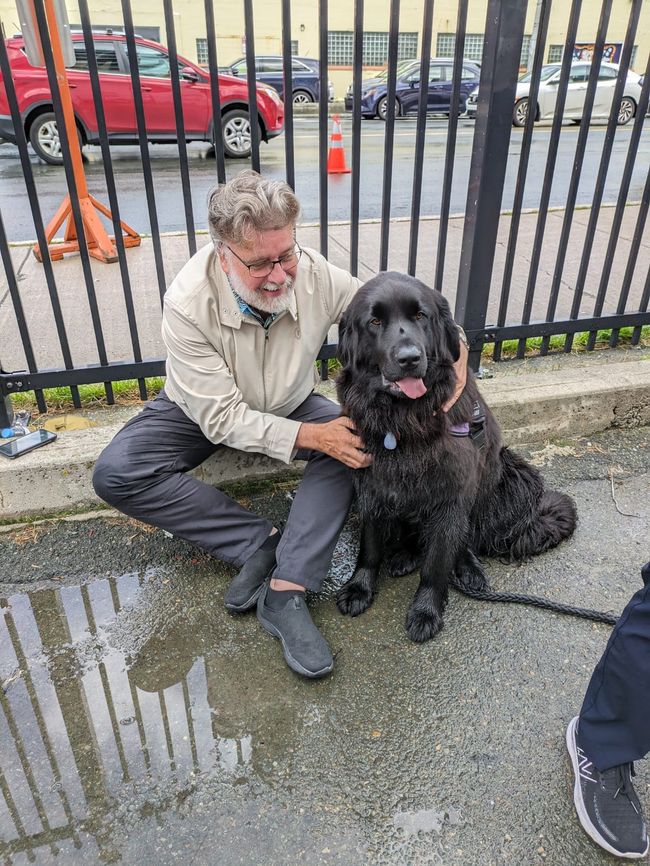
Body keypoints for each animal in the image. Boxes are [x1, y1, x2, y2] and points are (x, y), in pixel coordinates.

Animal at [336, 270, 576, 640]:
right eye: (374, 322)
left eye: (421, 316)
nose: (409, 358)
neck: (404, 421)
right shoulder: (374, 487)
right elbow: (370, 547)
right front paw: (359, 588)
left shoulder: (451, 498)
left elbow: (437, 563)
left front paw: (426, 610)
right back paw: (404, 556)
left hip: (511, 475)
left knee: (465, 540)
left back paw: (469, 570)